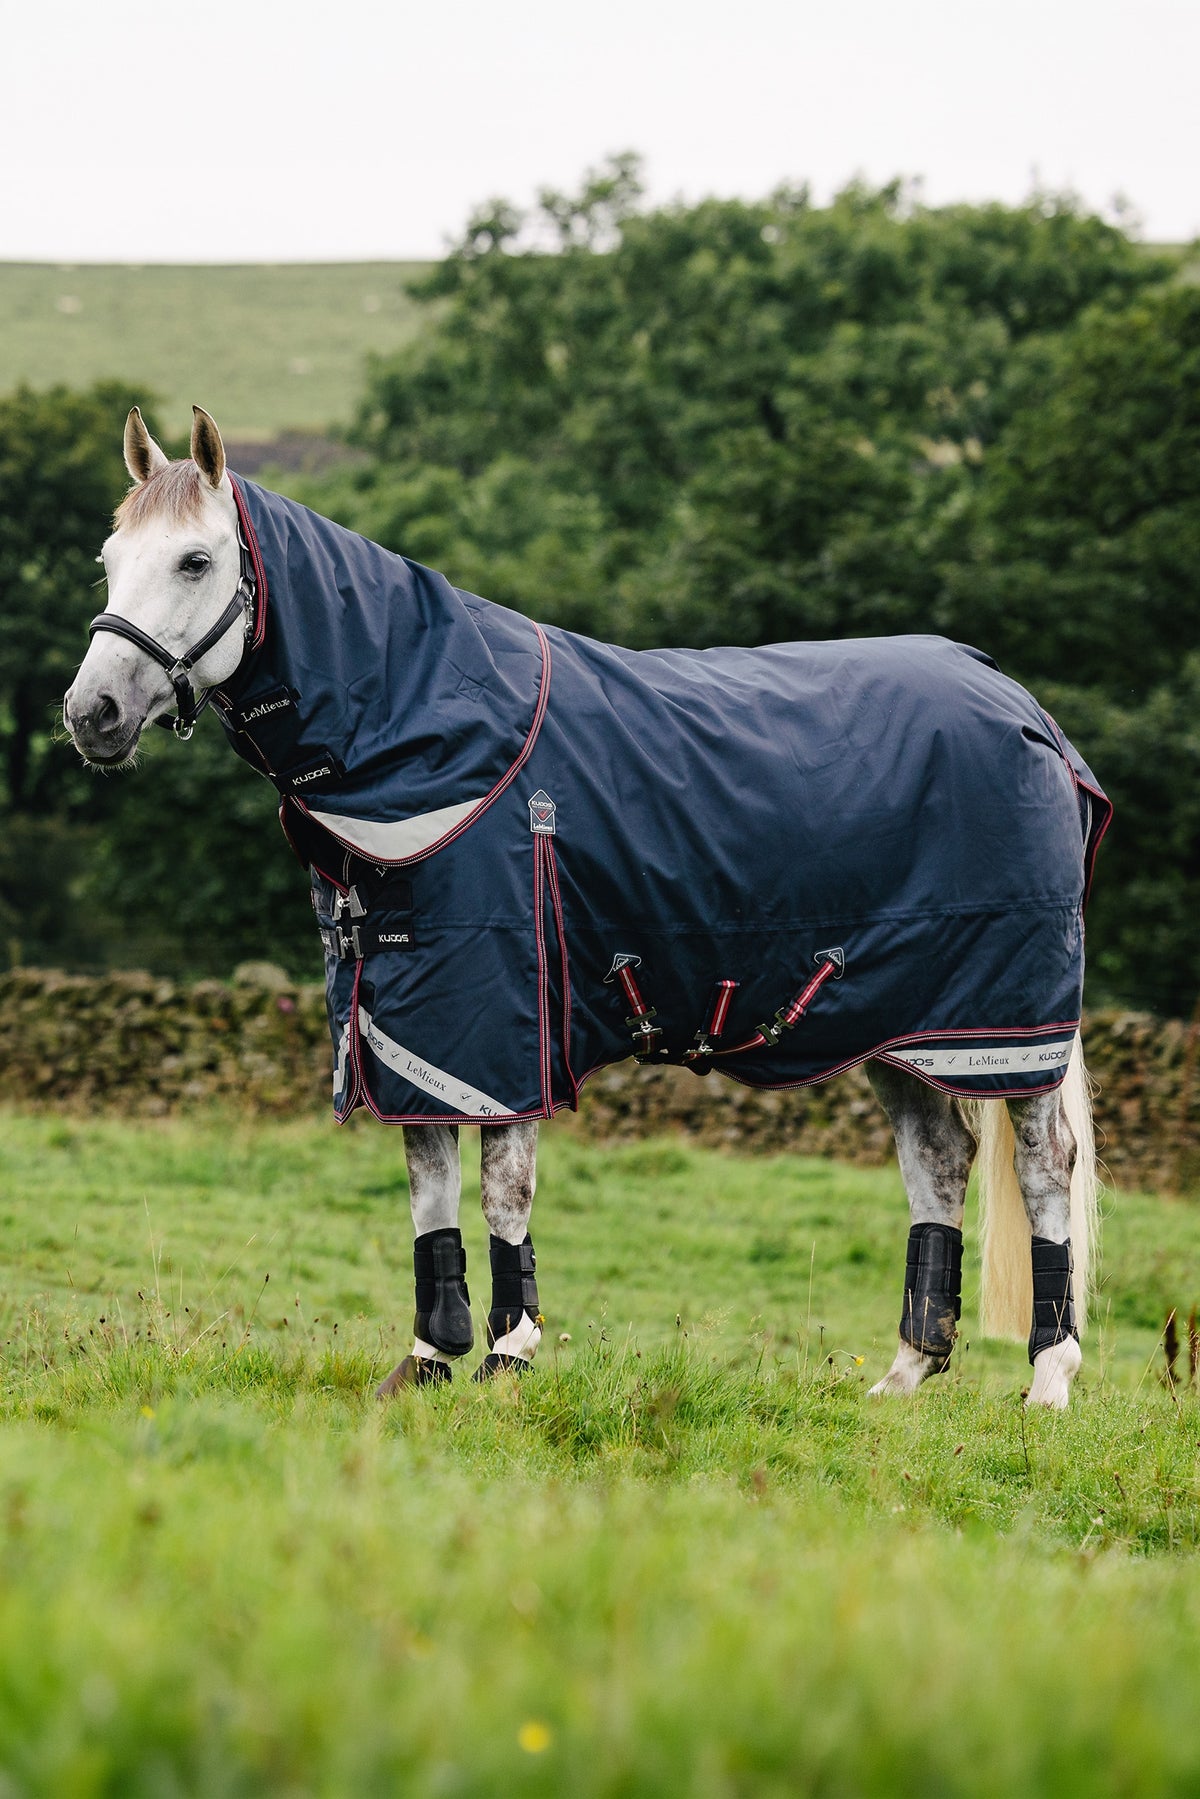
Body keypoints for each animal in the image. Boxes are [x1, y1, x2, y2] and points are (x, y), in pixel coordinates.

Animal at [64, 405, 1110, 1409]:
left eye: (196, 561)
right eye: (110, 561)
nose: (91, 714)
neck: (430, 732)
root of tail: (1025, 709)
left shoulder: (504, 1021)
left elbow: (503, 1189)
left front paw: (507, 1355)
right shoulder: (406, 1023)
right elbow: (429, 1191)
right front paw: (428, 1358)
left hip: (1007, 1023)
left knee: (1043, 1165)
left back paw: (1050, 1378)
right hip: (893, 1021)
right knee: (937, 1158)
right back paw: (903, 1375)